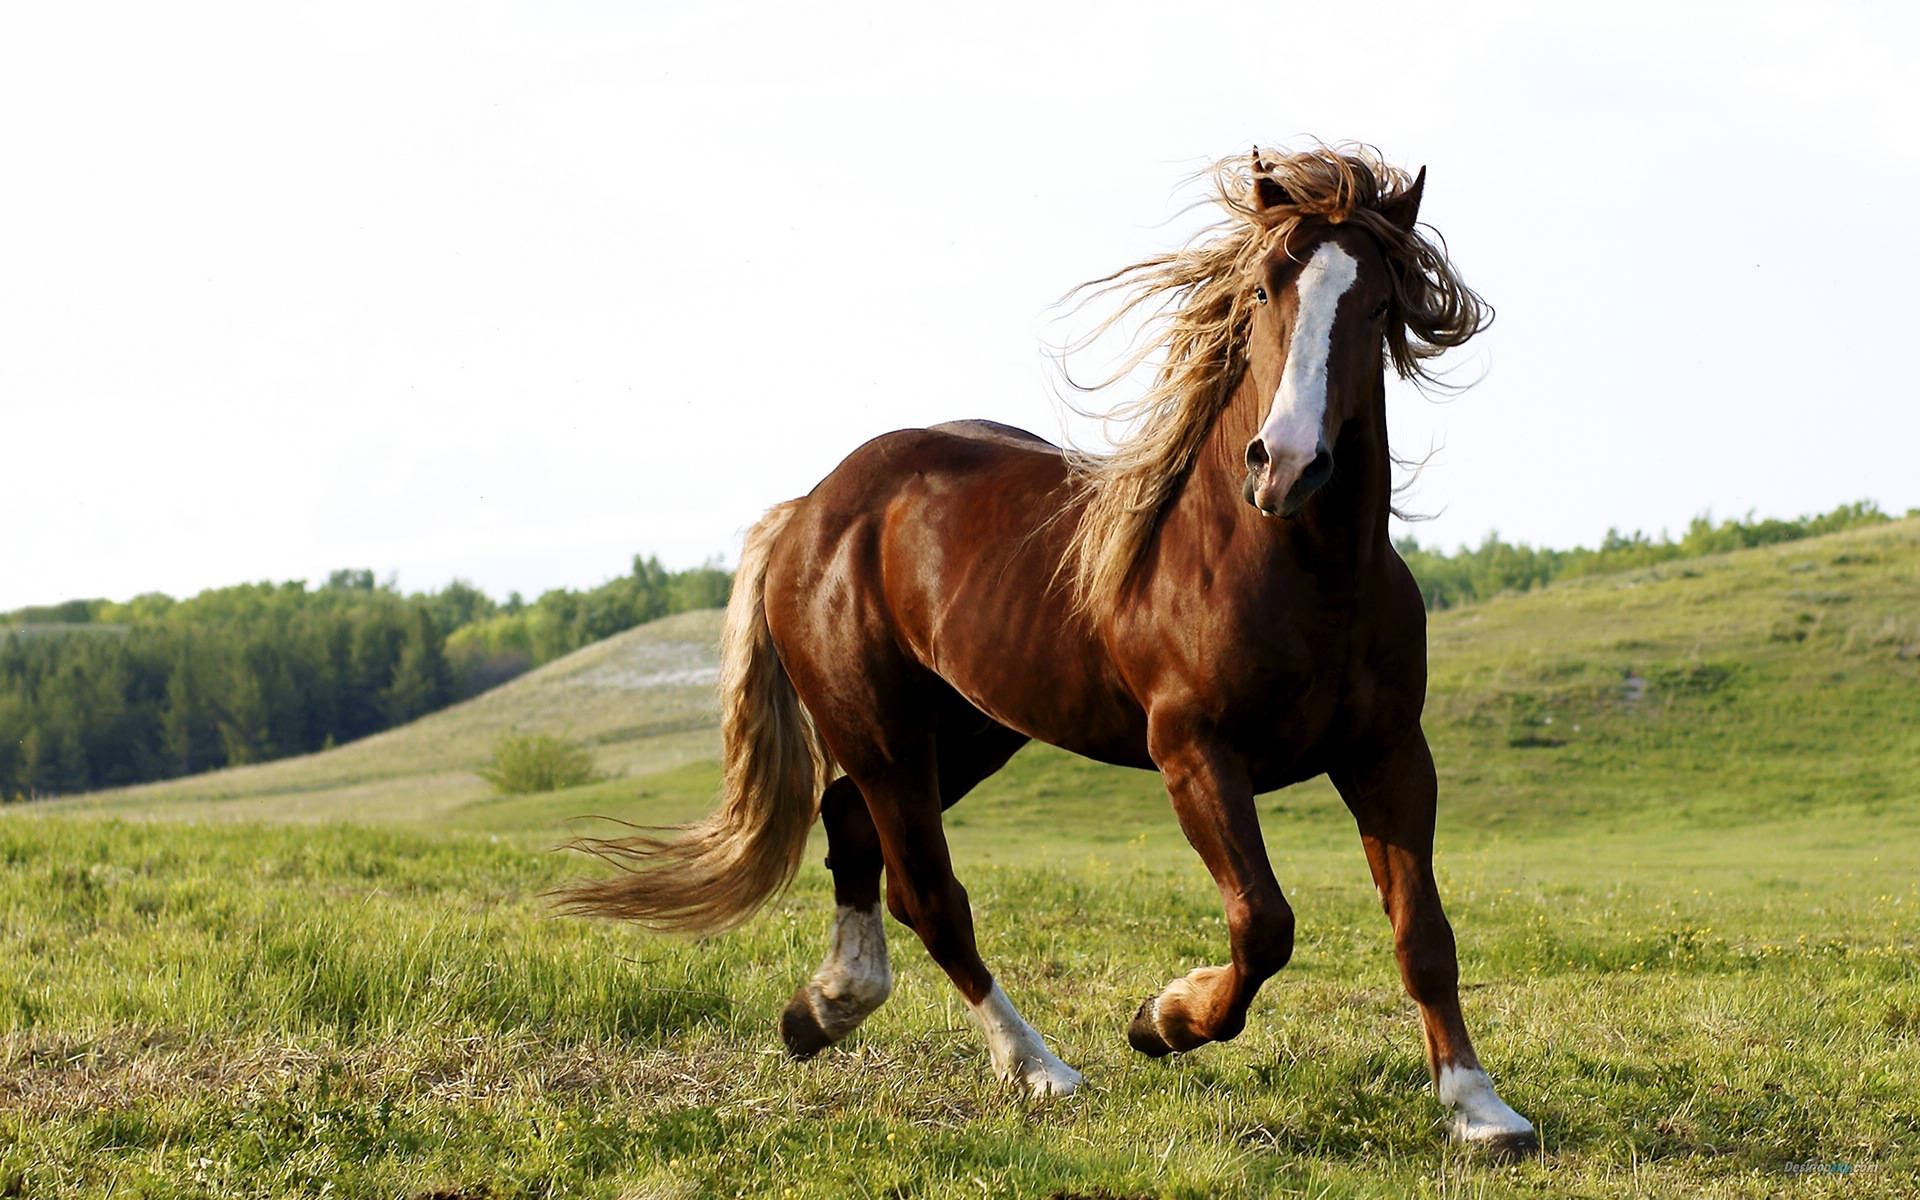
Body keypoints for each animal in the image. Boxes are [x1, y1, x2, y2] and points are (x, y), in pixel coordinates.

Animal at [560, 144, 1536, 1159]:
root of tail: (812, 509)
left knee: (853, 828)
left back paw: (825, 1008)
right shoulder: (1194, 752)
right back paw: (1038, 1068)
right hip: (882, 732)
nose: (1288, 466)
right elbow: (1264, 924)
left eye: (1380, 305)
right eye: (1265, 287)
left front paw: (1480, 1109)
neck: (1296, 567)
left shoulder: (1389, 754)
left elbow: (1423, 934)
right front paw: (1162, 1020)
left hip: (968, 731)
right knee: (930, 894)